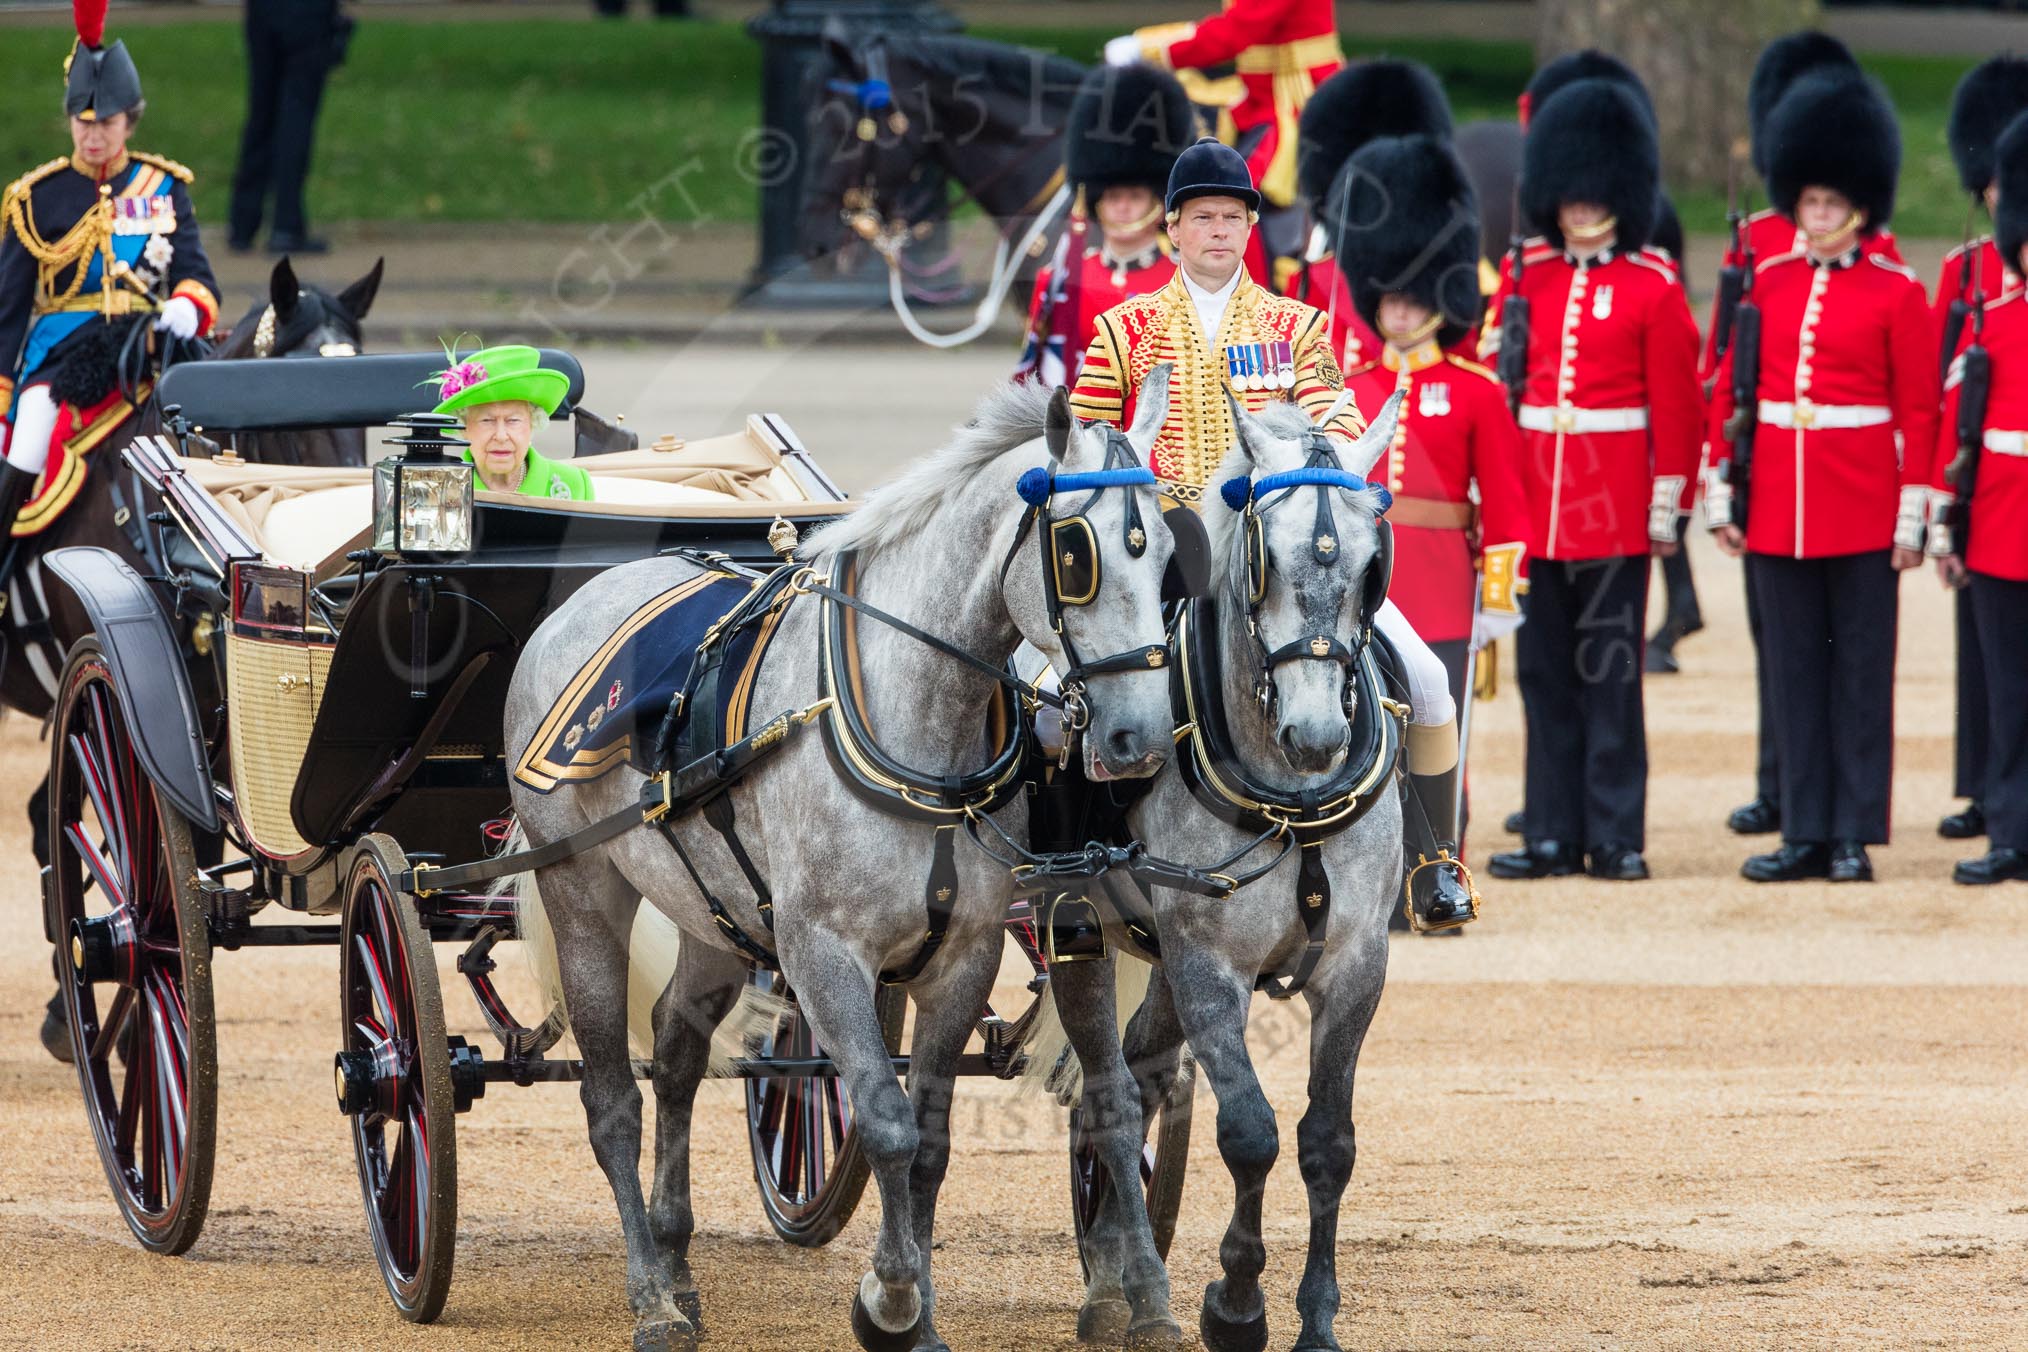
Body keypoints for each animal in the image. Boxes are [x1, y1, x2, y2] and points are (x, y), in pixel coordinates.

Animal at [505, 375, 1187, 1352]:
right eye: (1076, 552)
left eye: (1166, 549)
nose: (1138, 740)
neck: (914, 724)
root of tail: (582, 599)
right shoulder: (823, 954)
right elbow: (888, 1124)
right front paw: (890, 1300)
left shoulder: (961, 956)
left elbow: (929, 1139)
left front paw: (917, 1315)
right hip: (583, 892)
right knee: (612, 1103)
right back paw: (651, 1297)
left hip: (717, 913)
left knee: (674, 1057)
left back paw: (676, 1262)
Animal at [1031, 391, 1410, 1352]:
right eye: (1262, 561)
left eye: (1372, 567)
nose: (1316, 735)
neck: (1291, 797)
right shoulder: (1210, 963)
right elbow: (1249, 1133)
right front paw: (1236, 1305)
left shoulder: (1357, 967)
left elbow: (1327, 1142)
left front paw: (1316, 1318)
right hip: (1085, 933)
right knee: (1110, 1095)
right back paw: (1119, 1291)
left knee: (1143, 1078)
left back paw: (1122, 1265)